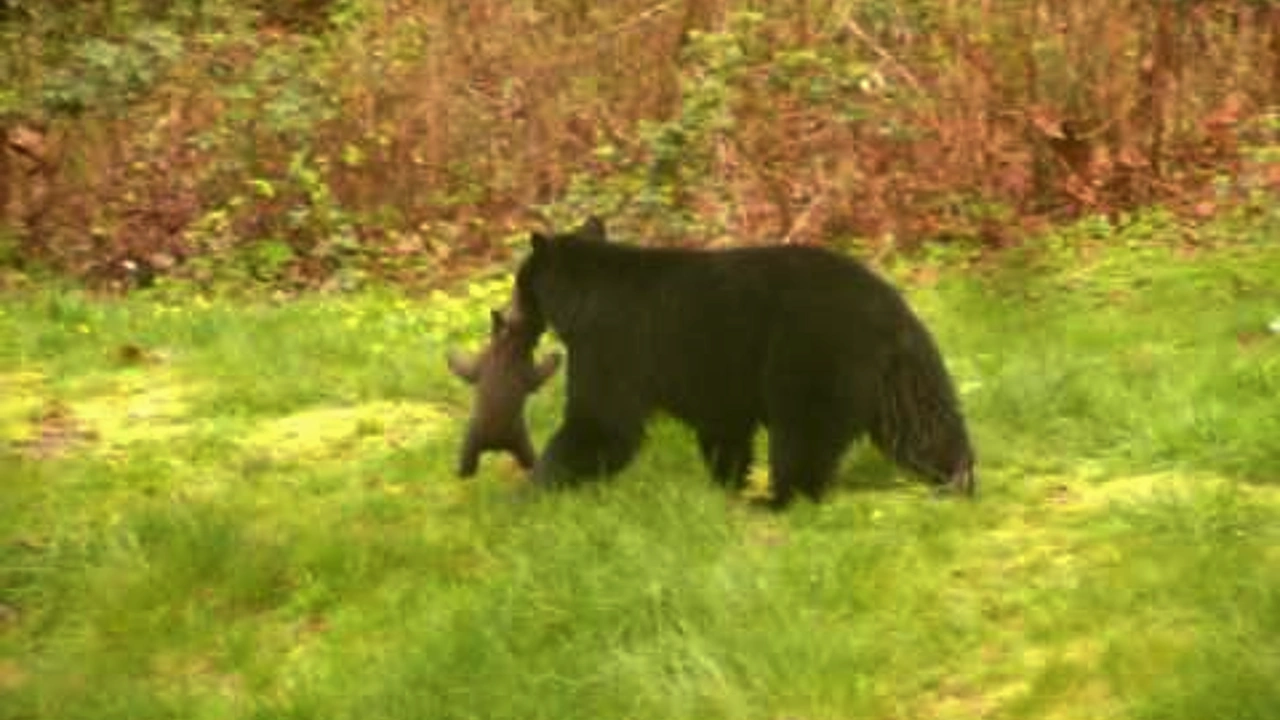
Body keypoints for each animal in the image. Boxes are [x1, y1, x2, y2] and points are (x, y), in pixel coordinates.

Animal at [509, 219, 967, 504]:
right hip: (903, 374)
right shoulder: (714, 377)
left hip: (812, 354)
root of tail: (890, 310)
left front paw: (528, 494)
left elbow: (601, 423)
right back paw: (955, 479)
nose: (507, 315)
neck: (584, 297)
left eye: (519, 281)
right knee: (924, 425)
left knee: (804, 432)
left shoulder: (613, 344)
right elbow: (723, 427)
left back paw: (781, 500)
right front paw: (725, 484)